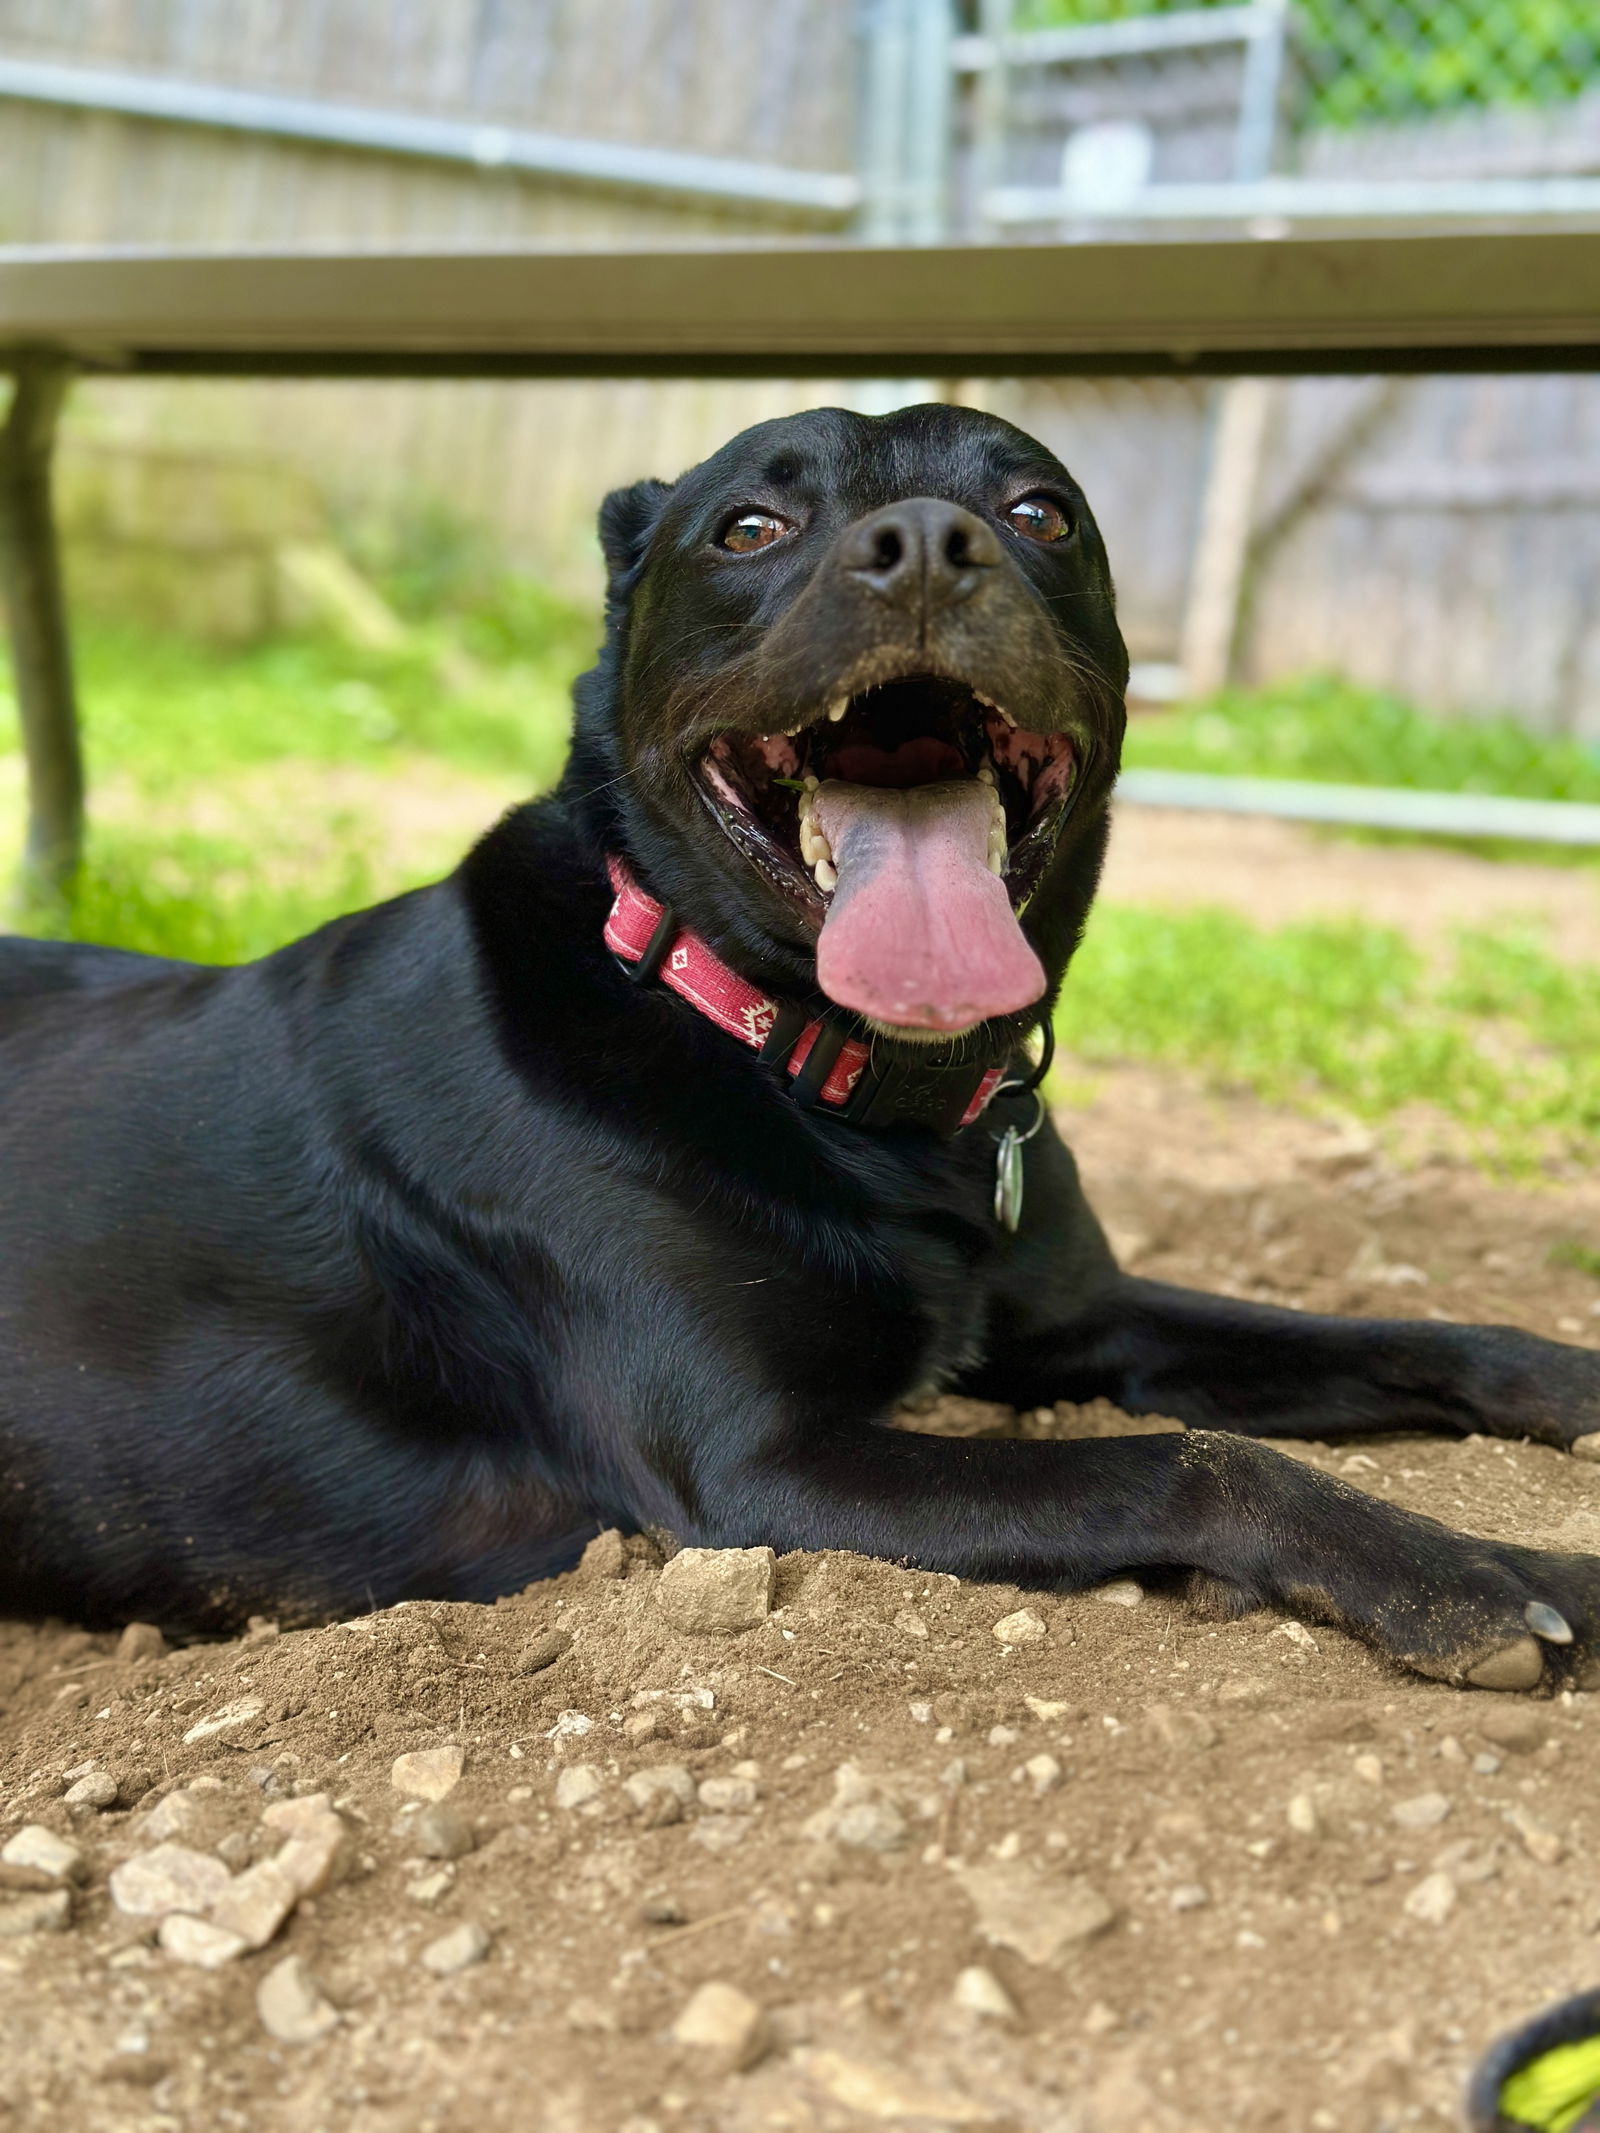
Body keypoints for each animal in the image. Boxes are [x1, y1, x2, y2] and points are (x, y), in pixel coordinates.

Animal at [3, 403, 1600, 1697]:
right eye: (751, 527)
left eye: (1041, 512)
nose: (928, 545)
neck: (836, 1084)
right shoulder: (763, 1472)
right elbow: (1197, 1463)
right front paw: (1481, 1575)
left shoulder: (1081, 1322)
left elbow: (1404, 1331)